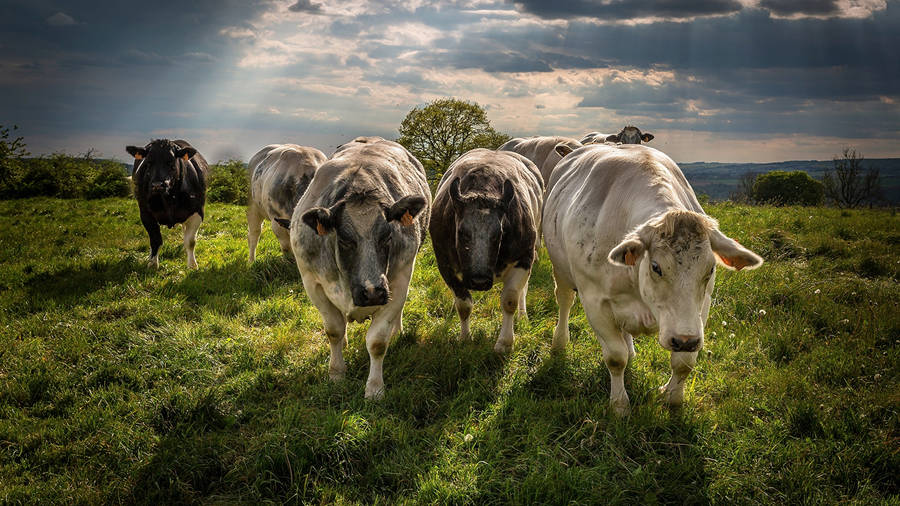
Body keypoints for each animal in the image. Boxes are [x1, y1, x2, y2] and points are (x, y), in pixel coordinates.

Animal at [126, 139, 208, 269]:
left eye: (171, 162)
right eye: (148, 162)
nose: (157, 185)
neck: (169, 199)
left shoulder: (198, 212)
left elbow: (190, 241)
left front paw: (192, 265)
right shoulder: (145, 213)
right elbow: (155, 240)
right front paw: (153, 264)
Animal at [279, 138, 430, 400]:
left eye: (387, 237)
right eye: (345, 240)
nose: (372, 292)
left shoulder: (398, 281)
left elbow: (377, 342)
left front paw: (375, 388)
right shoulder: (312, 282)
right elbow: (334, 330)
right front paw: (336, 374)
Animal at [430, 149, 543, 354]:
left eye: (499, 233)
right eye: (461, 232)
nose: (479, 281)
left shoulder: (524, 258)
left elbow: (510, 300)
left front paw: (505, 342)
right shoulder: (445, 264)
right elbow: (463, 304)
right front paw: (465, 337)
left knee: (522, 291)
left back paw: (522, 315)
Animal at [542, 143, 762, 416]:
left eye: (710, 269)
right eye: (656, 267)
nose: (684, 340)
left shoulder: (700, 308)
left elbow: (683, 363)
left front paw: (672, 398)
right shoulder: (594, 301)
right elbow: (615, 358)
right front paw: (619, 405)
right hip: (561, 272)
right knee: (564, 302)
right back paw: (560, 344)